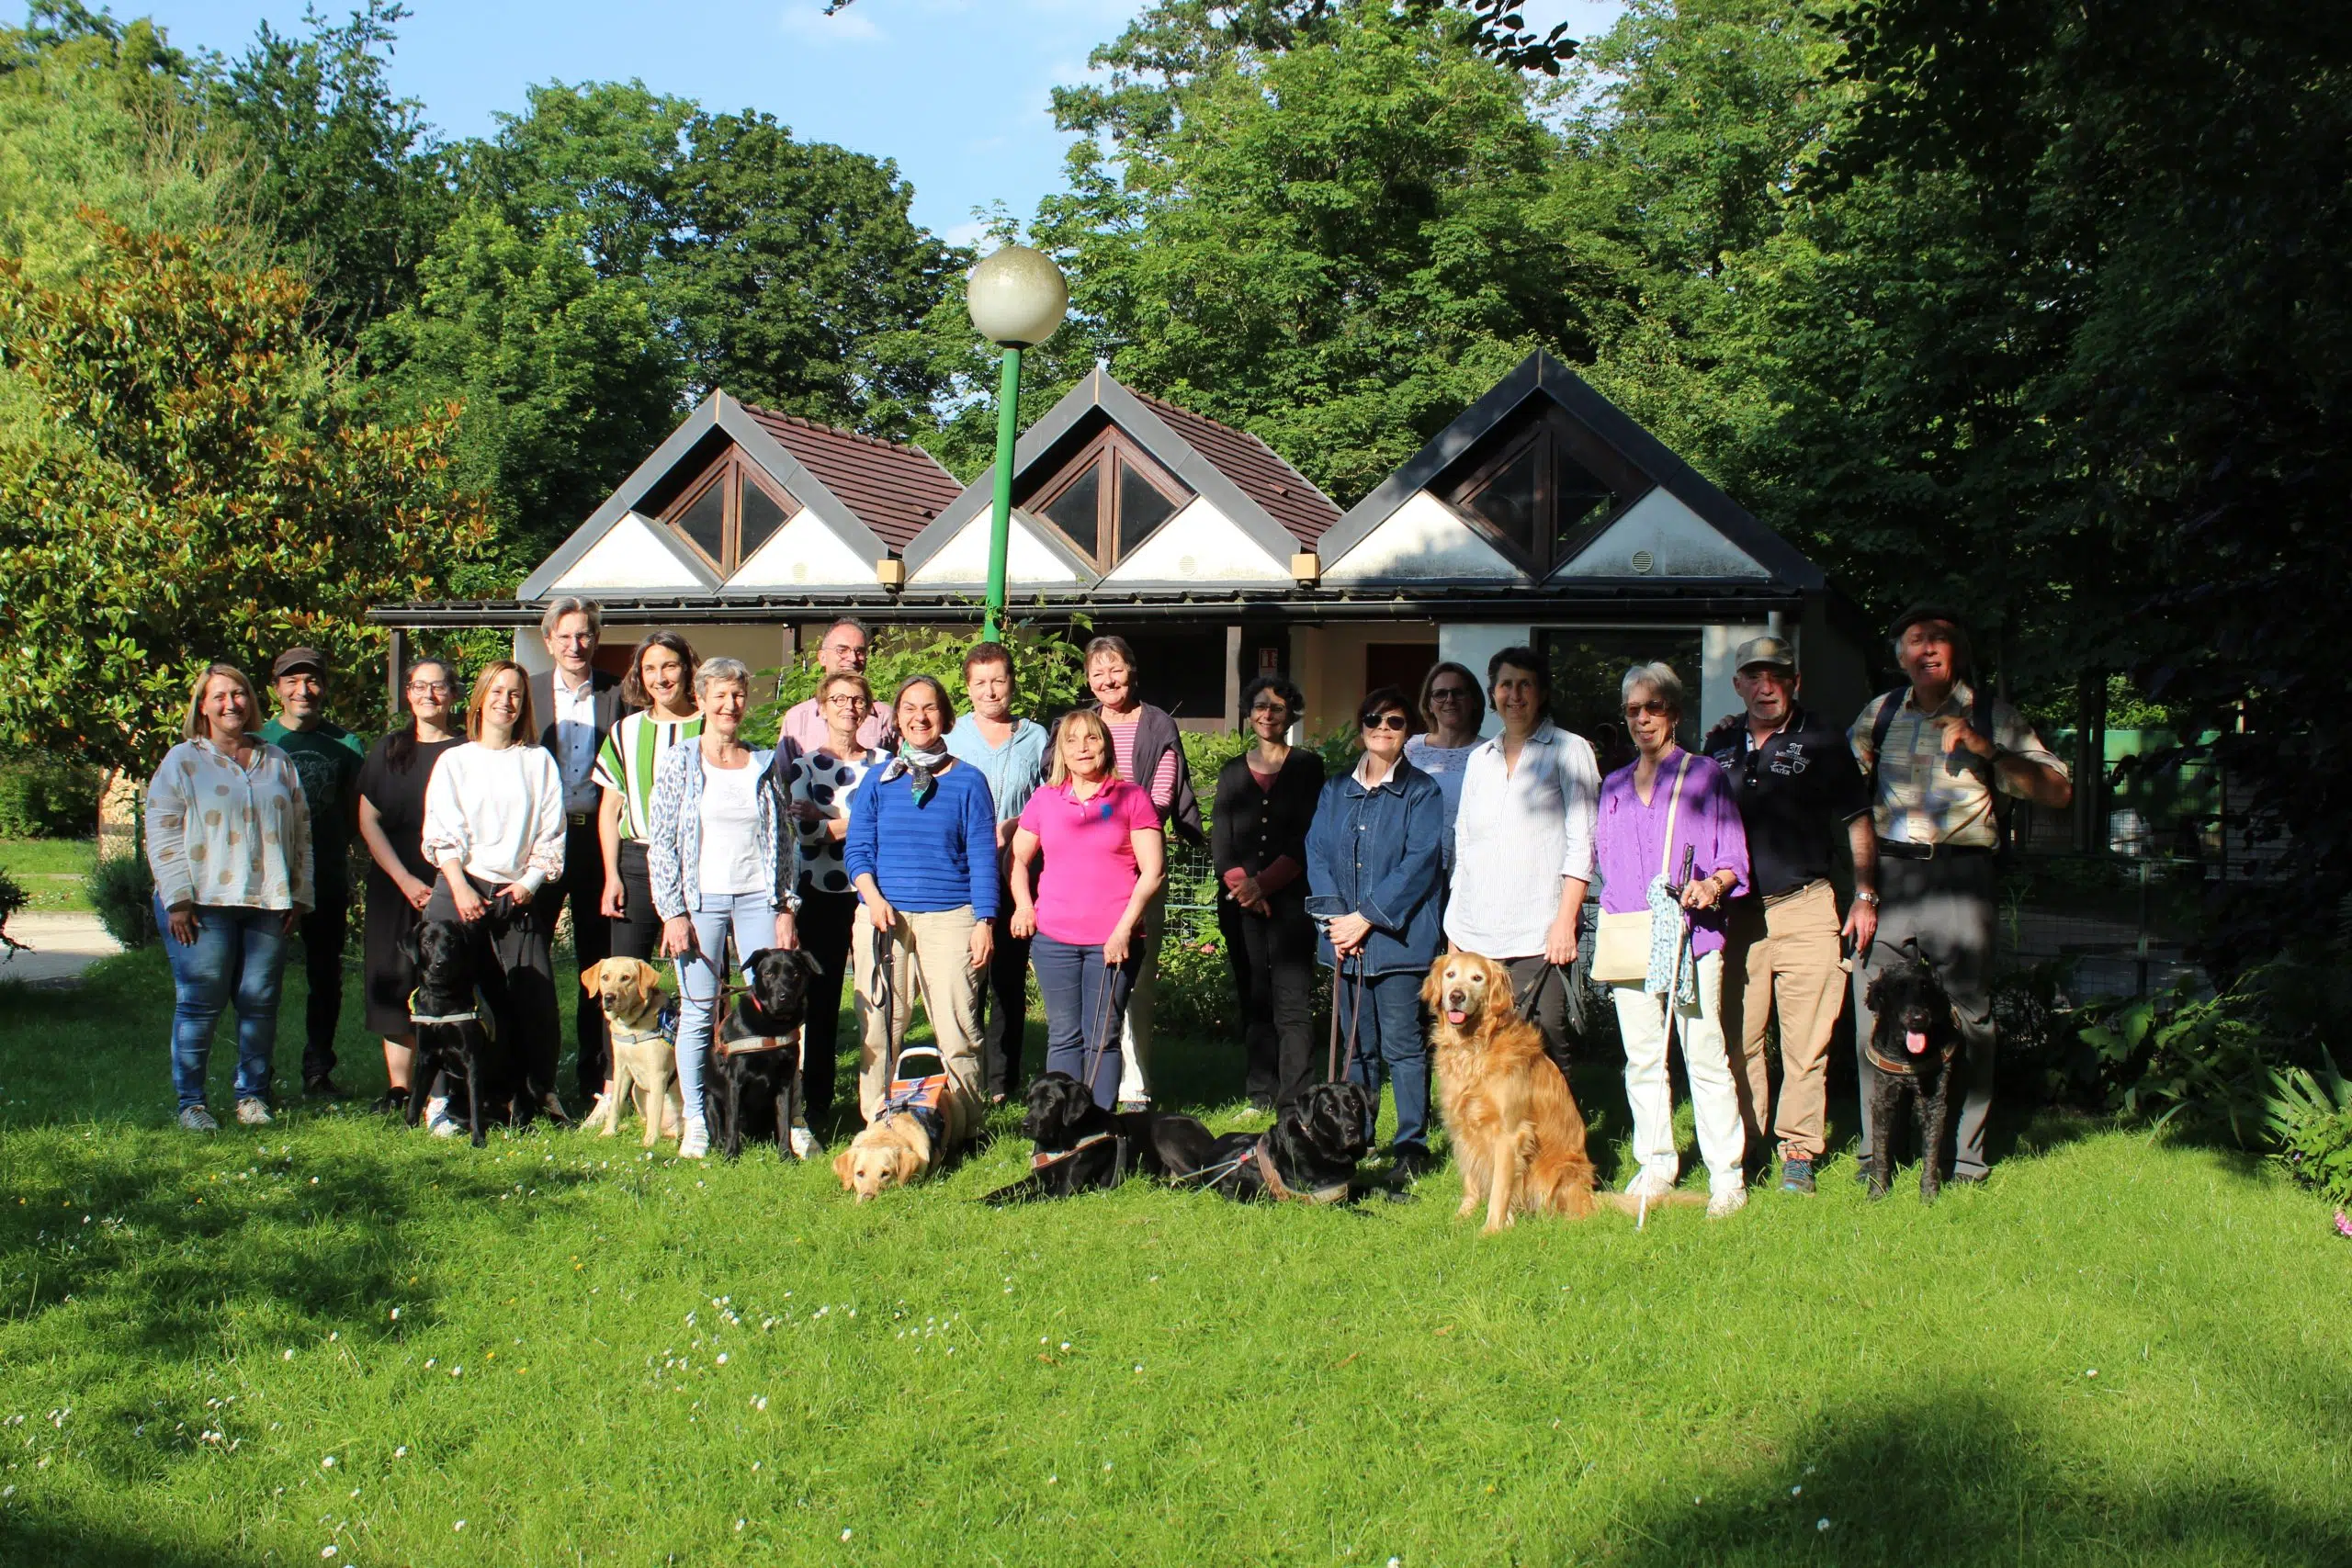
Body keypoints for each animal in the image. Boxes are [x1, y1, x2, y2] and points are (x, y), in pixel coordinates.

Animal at [582, 964, 686, 1146]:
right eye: (605, 977)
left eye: (626, 978)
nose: (609, 997)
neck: (632, 1026)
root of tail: (669, 1129)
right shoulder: (621, 1069)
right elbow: (615, 1104)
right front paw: (608, 1132)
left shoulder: (658, 1074)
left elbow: (655, 1111)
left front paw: (650, 1142)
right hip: (636, 1090)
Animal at [706, 949, 818, 1161]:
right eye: (769, 973)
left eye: (795, 973)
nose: (784, 997)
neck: (772, 1027)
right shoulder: (734, 1082)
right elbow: (732, 1123)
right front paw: (731, 1156)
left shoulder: (785, 1083)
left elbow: (784, 1123)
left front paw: (786, 1156)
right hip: (711, 1100)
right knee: (720, 1130)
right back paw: (720, 1146)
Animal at [1853, 944, 1966, 1203]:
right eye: (1898, 988)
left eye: (1925, 987)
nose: (1918, 1018)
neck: (1907, 1056)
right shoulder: (1883, 1099)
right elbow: (1881, 1148)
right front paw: (1878, 1190)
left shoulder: (1934, 1103)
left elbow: (1931, 1149)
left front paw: (1929, 1192)